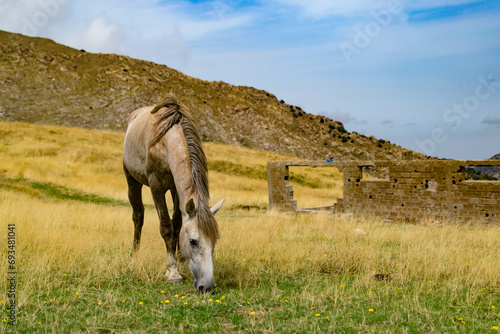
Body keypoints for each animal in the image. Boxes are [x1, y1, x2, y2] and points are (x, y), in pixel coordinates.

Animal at [122, 94, 224, 292]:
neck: (166, 140)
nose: (207, 286)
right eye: (193, 241)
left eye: (214, 241)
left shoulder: (177, 190)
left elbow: (177, 226)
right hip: (132, 180)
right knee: (138, 217)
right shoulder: (157, 187)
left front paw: (180, 264)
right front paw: (172, 272)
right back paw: (132, 260)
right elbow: (166, 227)